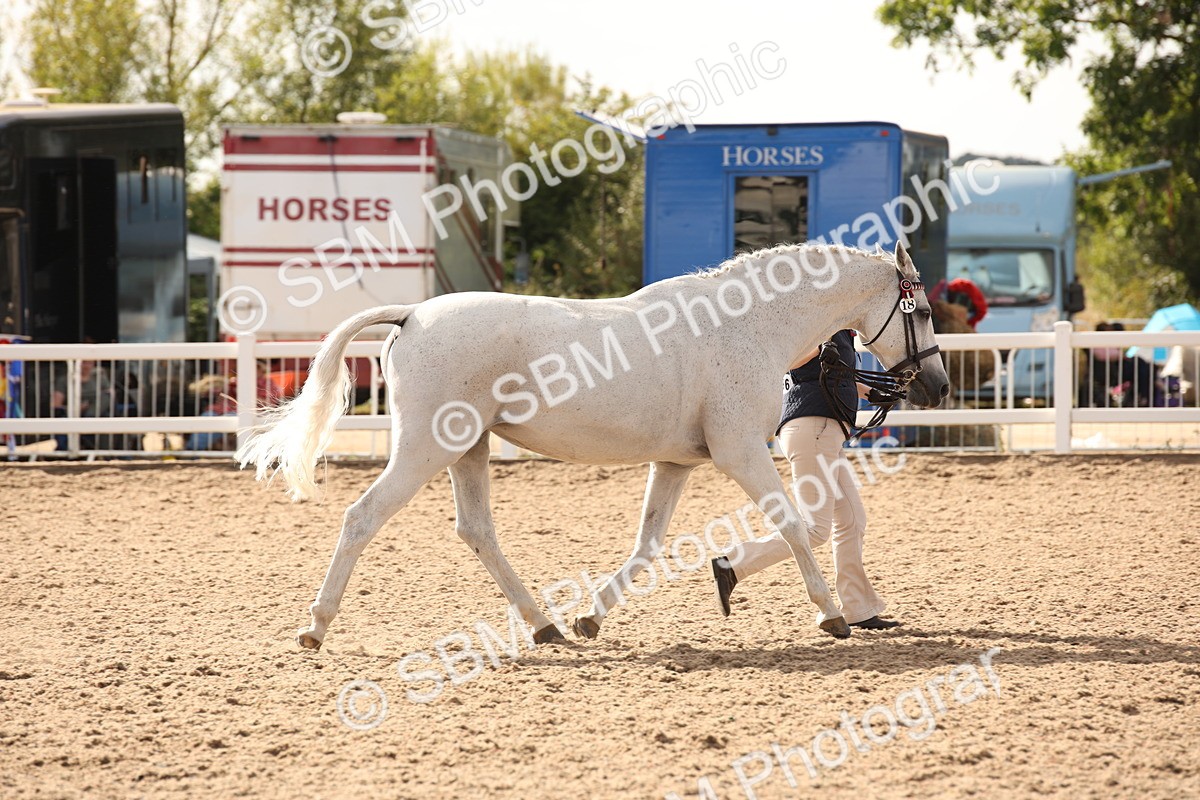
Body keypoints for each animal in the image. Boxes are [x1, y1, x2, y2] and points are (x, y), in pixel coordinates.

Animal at [236, 241, 950, 650]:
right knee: (363, 517)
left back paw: (547, 626)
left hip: (467, 449)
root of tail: (411, 315)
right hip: (424, 451)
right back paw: (314, 627)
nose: (938, 385)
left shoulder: (678, 462)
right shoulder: (741, 451)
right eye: (919, 310)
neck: (748, 324)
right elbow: (796, 524)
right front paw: (831, 615)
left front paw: (593, 619)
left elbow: (648, 546)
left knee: (477, 531)